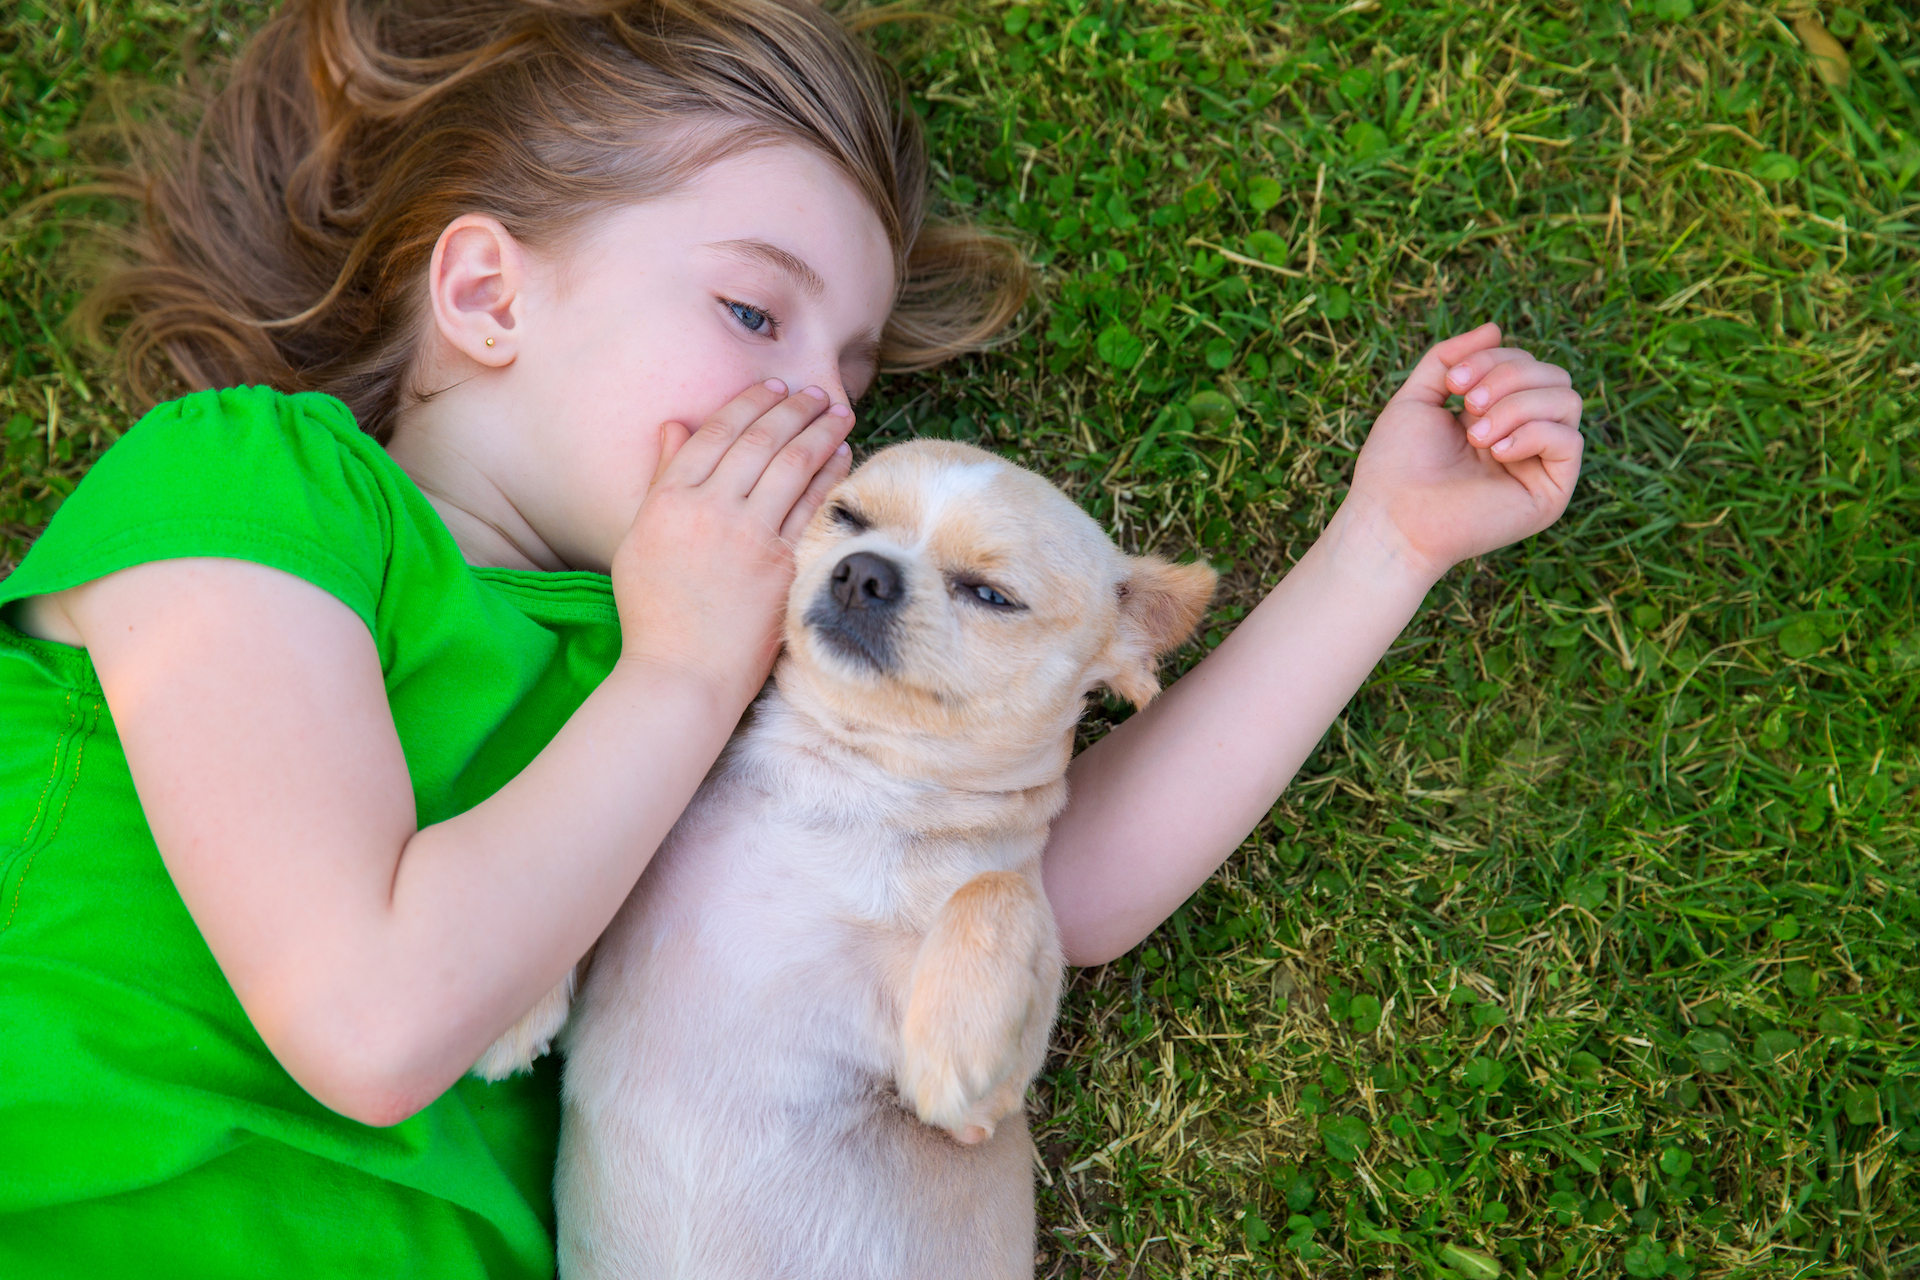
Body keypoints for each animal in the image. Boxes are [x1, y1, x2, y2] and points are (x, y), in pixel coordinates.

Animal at [478, 443, 1205, 1280]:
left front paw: (952, 1042)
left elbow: (998, 888)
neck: (838, 779)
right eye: (846, 517)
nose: (864, 571)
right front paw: (512, 998)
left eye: (991, 595)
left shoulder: (982, 1112)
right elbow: (591, 868)